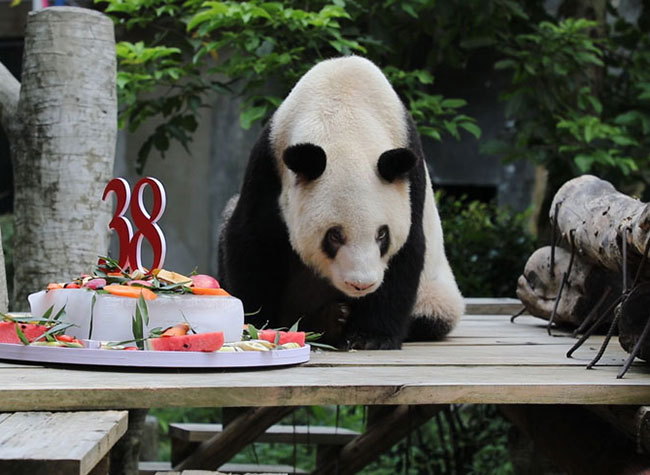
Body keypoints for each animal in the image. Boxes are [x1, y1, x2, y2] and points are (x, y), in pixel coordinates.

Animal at [218, 56, 464, 349]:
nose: (361, 285)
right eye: (334, 235)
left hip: (436, 293)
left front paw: (370, 337)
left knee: (430, 316)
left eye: (382, 235)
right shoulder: (270, 160)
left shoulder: (409, 179)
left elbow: (408, 248)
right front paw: (257, 322)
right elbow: (252, 237)